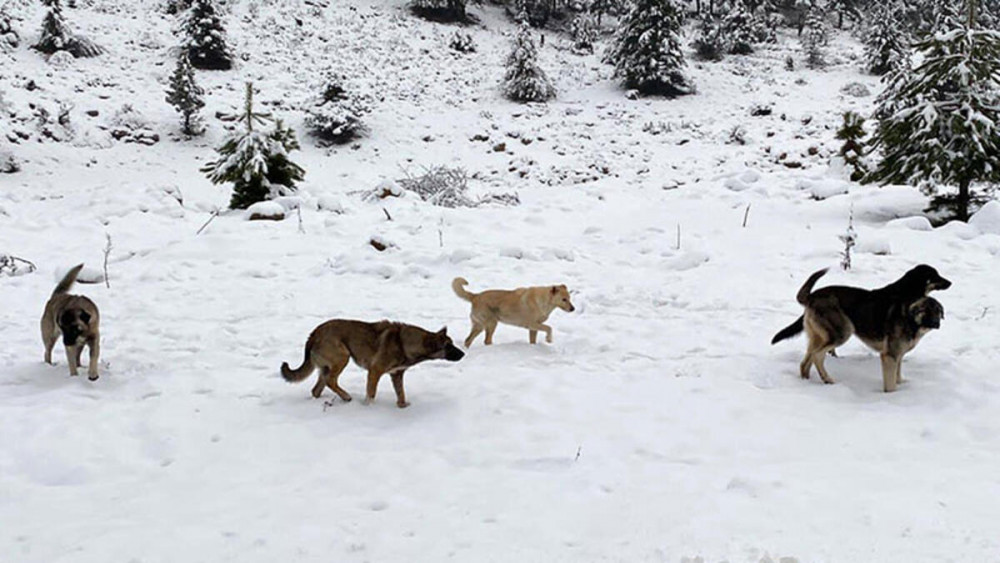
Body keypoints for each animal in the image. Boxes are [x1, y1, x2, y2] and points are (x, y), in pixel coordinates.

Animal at [282, 320, 464, 408]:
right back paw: (346, 397)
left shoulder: (396, 374)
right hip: (342, 357)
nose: (463, 354)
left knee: (317, 388)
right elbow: (371, 393)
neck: (404, 342)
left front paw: (402, 406)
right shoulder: (375, 371)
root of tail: (313, 334)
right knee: (331, 381)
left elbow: (401, 393)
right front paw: (367, 407)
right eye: (448, 346)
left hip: (327, 366)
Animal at [772, 266, 952, 392]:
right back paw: (827, 379)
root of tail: (812, 296)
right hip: (843, 332)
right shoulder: (889, 355)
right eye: (924, 311)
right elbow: (890, 384)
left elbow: (898, 375)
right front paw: (892, 398)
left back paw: (807, 381)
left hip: (818, 337)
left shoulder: (898, 355)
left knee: (805, 362)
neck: (910, 318)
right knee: (817, 355)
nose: (936, 323)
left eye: (938, 312)